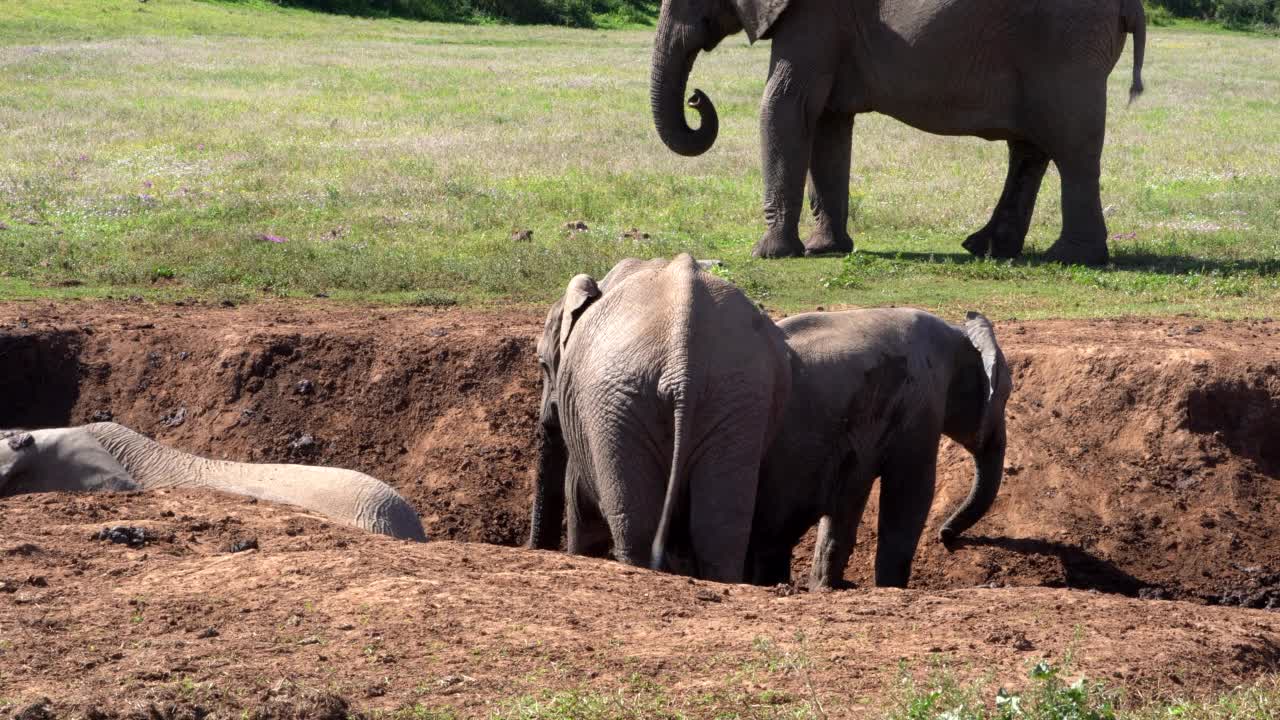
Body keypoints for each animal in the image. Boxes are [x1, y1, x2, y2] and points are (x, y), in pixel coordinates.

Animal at [522, 254, 788, 579]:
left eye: (542, 364)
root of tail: (683, 363)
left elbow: (580, 505)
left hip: (617, 405)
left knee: (636, 527)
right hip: (740, 398)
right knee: (719, 531)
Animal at [650, 0, 1152, 265]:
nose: (696, 98)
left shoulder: (817, 15)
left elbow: (785, 106)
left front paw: (769, 254)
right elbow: (827, 122)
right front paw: (827, 249)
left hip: (1067, 45)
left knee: (1071, 148)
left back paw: (1069, 256)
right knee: (1030, 148)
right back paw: (988, 248)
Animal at [747, 304, 1008, 586]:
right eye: (1006, 397)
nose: (945, 537)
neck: (958, 331)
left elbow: (849, 502)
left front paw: (825, 587)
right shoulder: (921, 402)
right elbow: (910, 492)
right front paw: (891, 586)